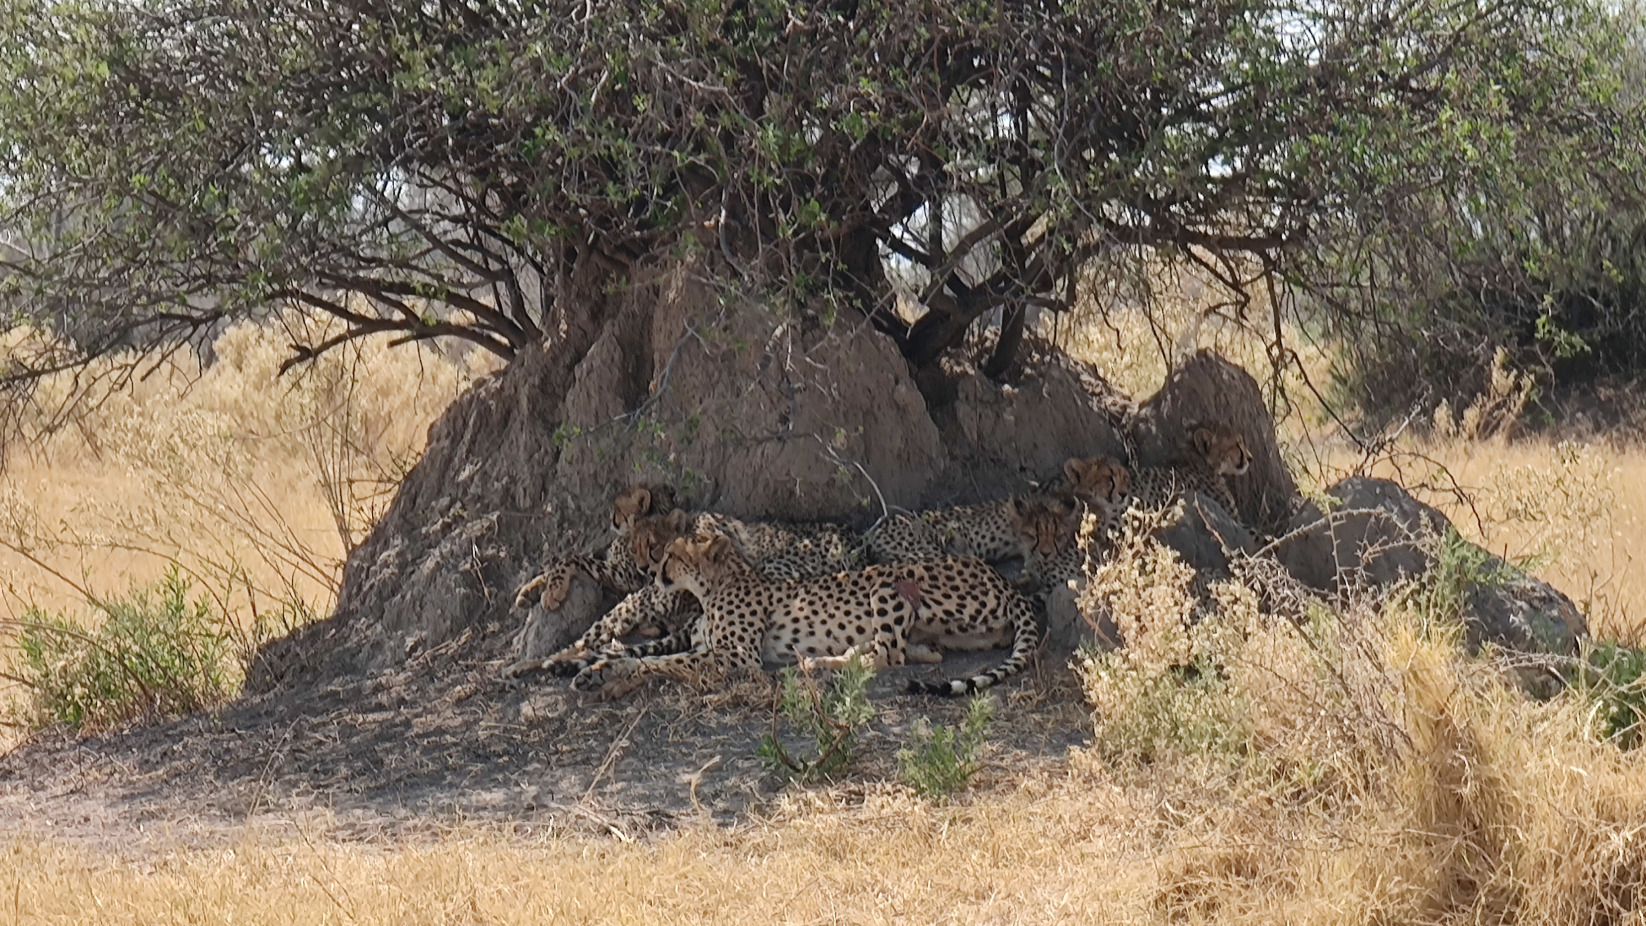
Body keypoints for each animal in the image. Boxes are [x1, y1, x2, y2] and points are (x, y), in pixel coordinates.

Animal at [572, 531, 1041, 699]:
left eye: (670, 554)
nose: (652, 572)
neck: (714, 587)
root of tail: (1004, 579)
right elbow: (647, 654)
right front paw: (595, 668)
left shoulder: (738, 658)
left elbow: (663, 662)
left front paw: (613, 672)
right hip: (942, 627)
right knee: (919, 652)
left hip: (890, 581)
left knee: (889, 656)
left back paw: (816, 662)